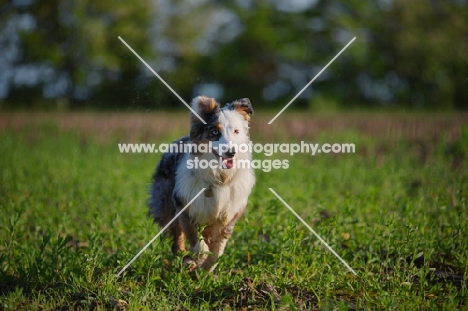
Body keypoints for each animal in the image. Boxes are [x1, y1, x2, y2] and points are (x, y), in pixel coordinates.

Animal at [148, 95, 254, 272]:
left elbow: (217, 251)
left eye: (236, 131)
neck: (217, 178)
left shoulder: (228, 216)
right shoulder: (185, 208)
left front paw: (206, 270)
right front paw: (197, 261)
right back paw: (184, 260)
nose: (231, 152)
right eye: (215, 132)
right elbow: (197, 243)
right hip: (168, 205)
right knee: (177, 238)